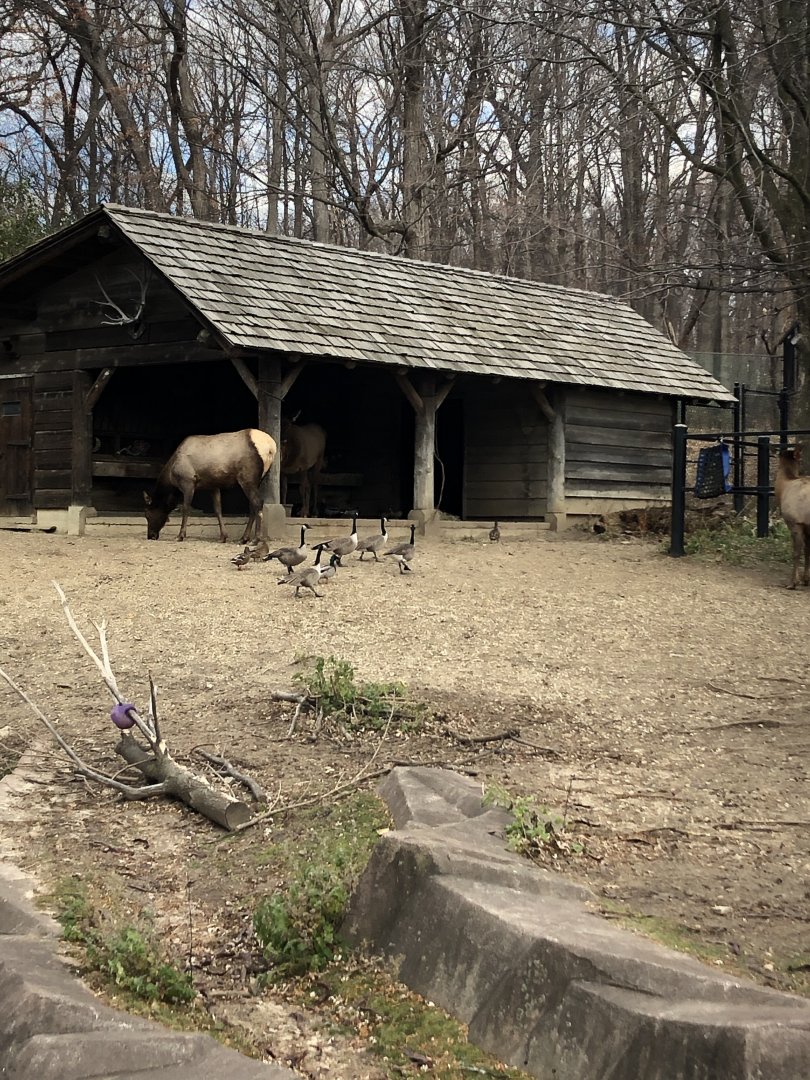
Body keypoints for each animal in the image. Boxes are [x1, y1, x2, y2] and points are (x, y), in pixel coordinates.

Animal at [143, 429, 276, 543]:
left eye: (147, 515)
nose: (151, 536)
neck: (171, 476)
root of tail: (271, 447)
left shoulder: (188, 482)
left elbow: (186, 508)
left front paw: (180, 535)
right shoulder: (213, 485)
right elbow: (218, 510)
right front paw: (223, 536)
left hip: (247, 478)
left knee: (258, 502)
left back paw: (256, 539)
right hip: (258, 480)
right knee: (252, 505)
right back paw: (244, 538)